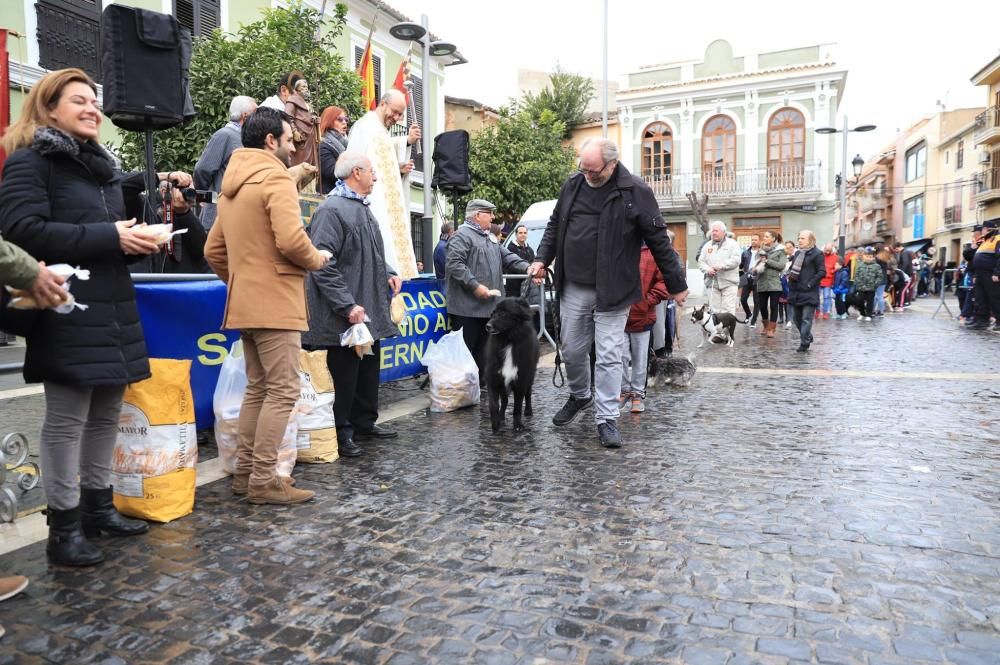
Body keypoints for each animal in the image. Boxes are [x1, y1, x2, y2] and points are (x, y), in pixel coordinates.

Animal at [484, 298, 540, 434]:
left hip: (530, 376)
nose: (488, 326)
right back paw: (501, 416)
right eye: (493, 313)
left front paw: (518, 426)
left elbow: (517, 406)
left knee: (528, 394)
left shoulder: (520, 380)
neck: (508, 340)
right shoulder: (494, 379)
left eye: (504, 313)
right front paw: (495, 425)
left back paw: (528, 411)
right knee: (504, 400)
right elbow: (493, 405)